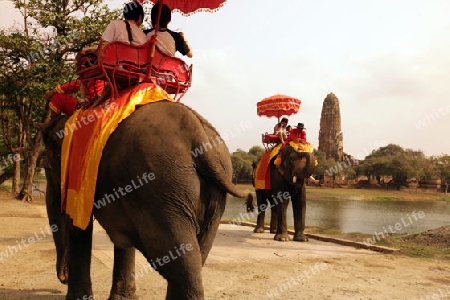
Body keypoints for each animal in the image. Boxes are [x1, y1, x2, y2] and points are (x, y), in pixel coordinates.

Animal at [42, 101, 253, 300]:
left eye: (47, 167)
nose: (63, 278)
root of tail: (197, 133)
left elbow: (79, 226)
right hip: (210, 195)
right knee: (197, 254)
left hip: (162, 187)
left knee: (181, 260)